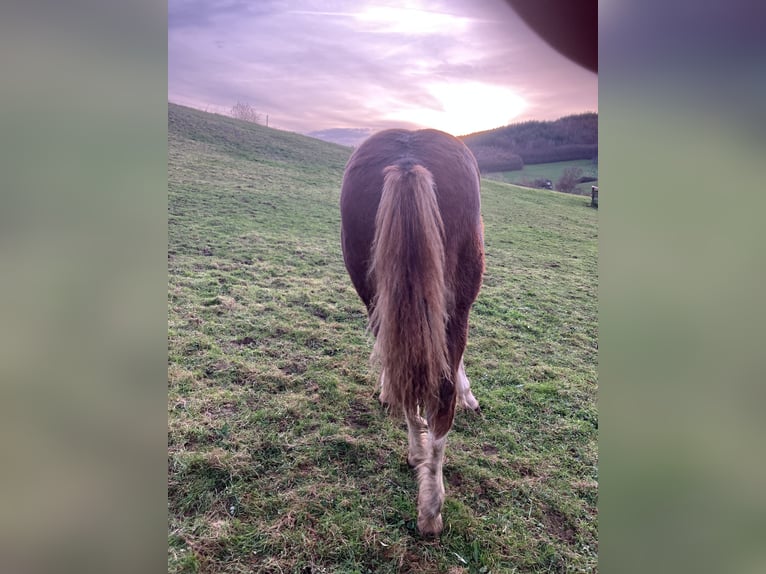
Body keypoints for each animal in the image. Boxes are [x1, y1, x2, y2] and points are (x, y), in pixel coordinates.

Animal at [342, 128, 486, 536]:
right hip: (453, 305)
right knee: (439, 395)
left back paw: (419, 462)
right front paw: (470, 396)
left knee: (408, 375)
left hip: (379, 295)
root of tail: (408, 161)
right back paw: (431, 508)